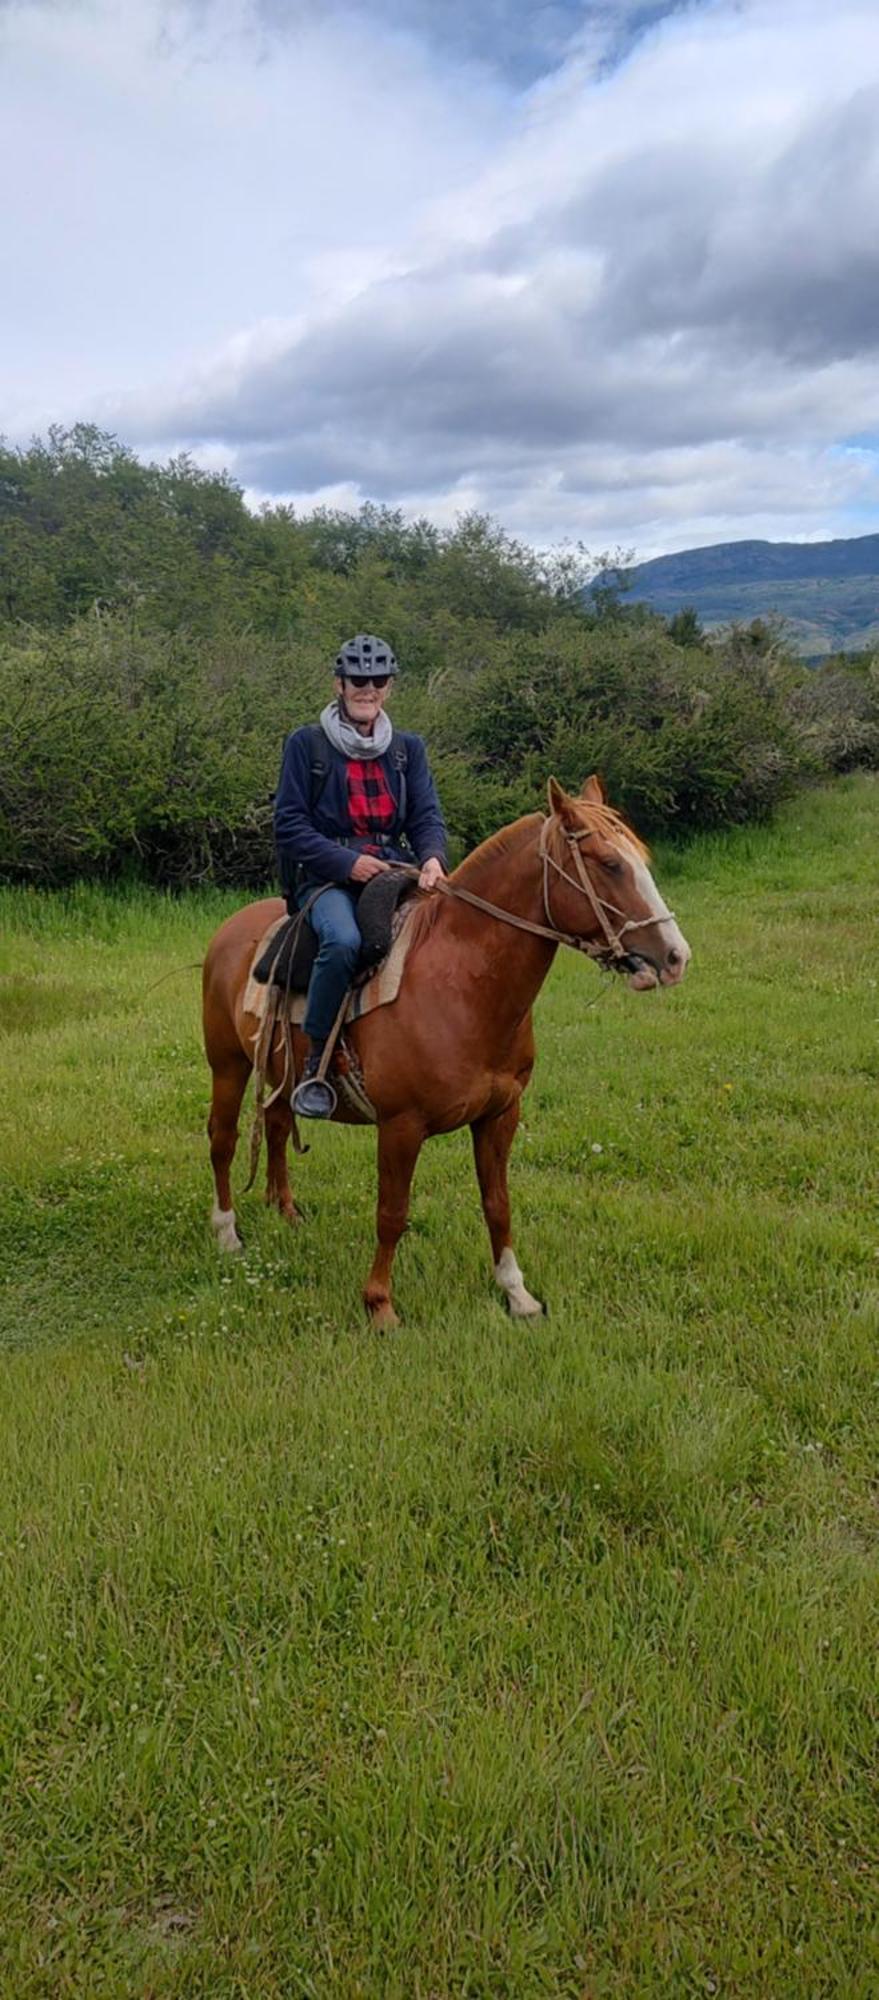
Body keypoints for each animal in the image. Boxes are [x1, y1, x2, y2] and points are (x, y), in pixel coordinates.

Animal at [202, 780, 691, 1328]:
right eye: (609, 864)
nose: (675, 956)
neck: (462, 984)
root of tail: (230, 930)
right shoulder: (401, 1125)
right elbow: (391, 1213)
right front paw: (380, 1304)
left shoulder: (501, 1114)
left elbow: (497, 1203)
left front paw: (516, 1294)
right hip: (227, 1066)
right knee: (223, 1140)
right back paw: (227, 1233)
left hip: (279, 1073)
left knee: (278, 1123)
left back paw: (284, 1209)